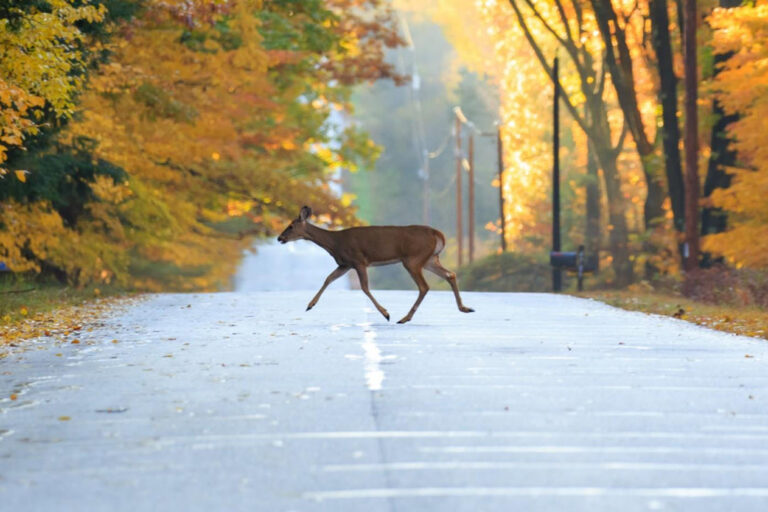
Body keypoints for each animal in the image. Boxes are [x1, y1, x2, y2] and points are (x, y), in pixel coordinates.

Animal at [277, 206, 474, 324]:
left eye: (291, 226)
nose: (280, 238)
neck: (334, 243)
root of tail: (438, 234)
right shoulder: (345, 264)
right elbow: (328, 279)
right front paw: (310, 305)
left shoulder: (358, 260)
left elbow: (364, 288)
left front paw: (386, 313)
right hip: (430, 259)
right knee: (450, 274)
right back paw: (465, 308)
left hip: (413, 259)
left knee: (424, 286)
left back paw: (405, 318)